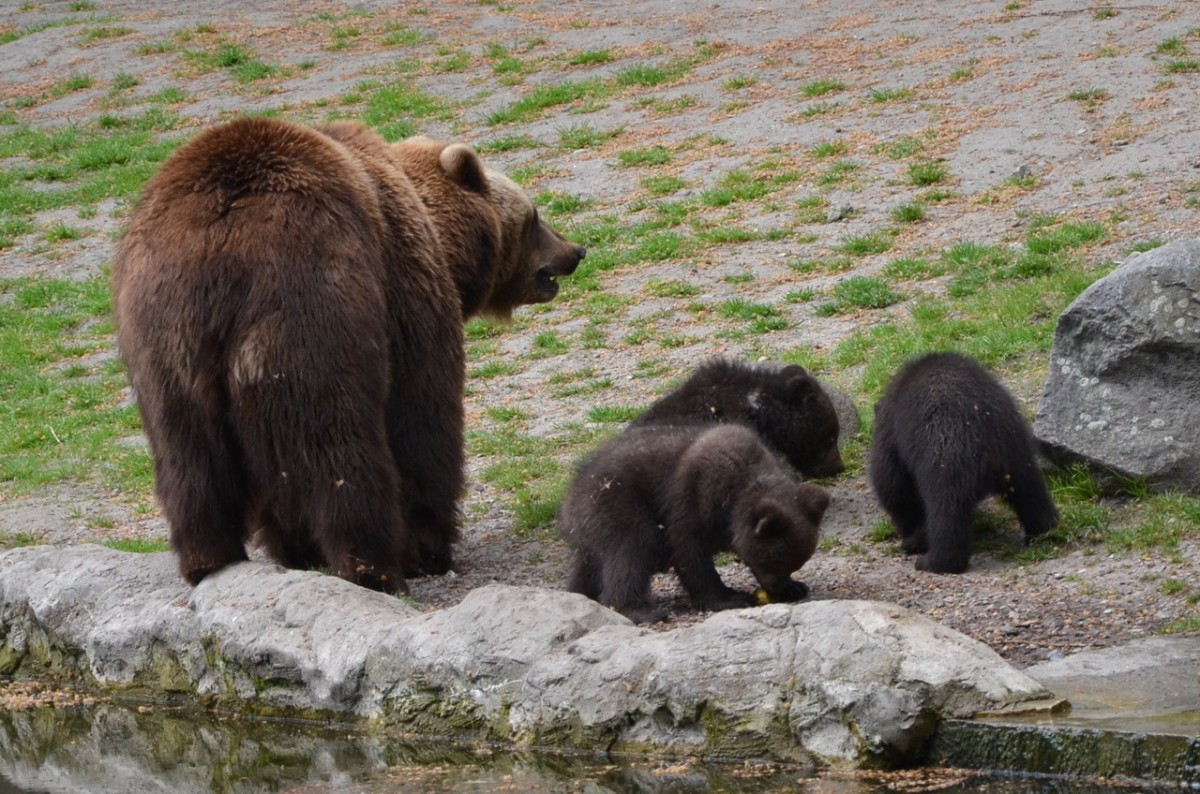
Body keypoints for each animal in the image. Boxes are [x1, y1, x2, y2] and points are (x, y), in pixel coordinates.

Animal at [114, 116, 583, 590]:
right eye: (534, 216)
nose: (575, 250)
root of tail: (217, 248)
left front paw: (297, 549)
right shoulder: (407, 289)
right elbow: (423, 419)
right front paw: (428, 548)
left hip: (163, 340)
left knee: (188, 458)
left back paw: (207, 559)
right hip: (315, 302)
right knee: (339, 446)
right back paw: (372, 566)